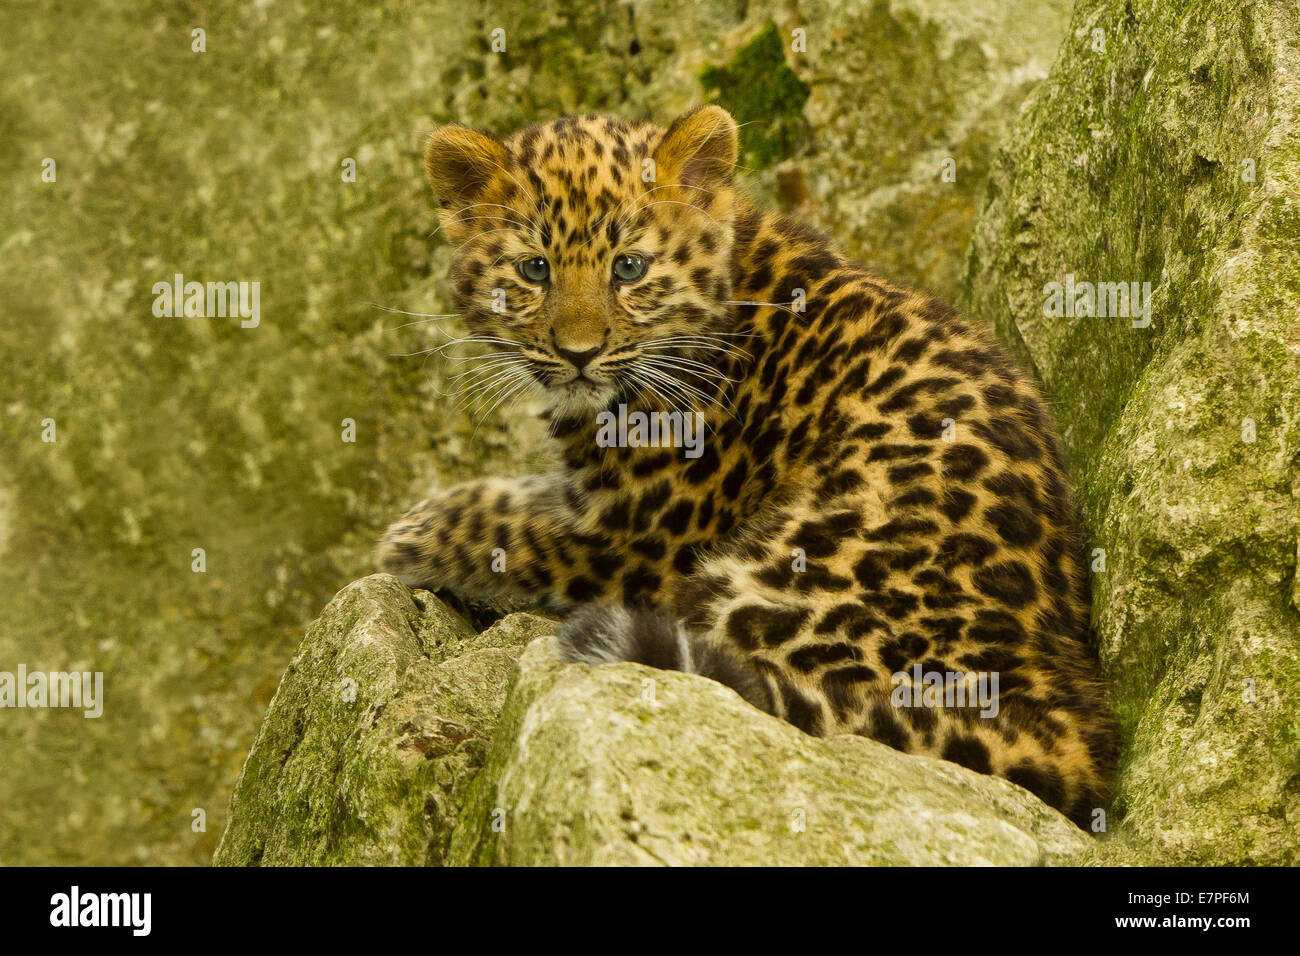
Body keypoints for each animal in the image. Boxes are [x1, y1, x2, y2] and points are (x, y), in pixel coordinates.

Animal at [378, 106, 1118, 828]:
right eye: (534, 271)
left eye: (629, 267)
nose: (579, 354)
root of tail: (1061, 718)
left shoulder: (630, 543)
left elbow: (513, 532)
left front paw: (413, 533)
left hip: (764, 585)